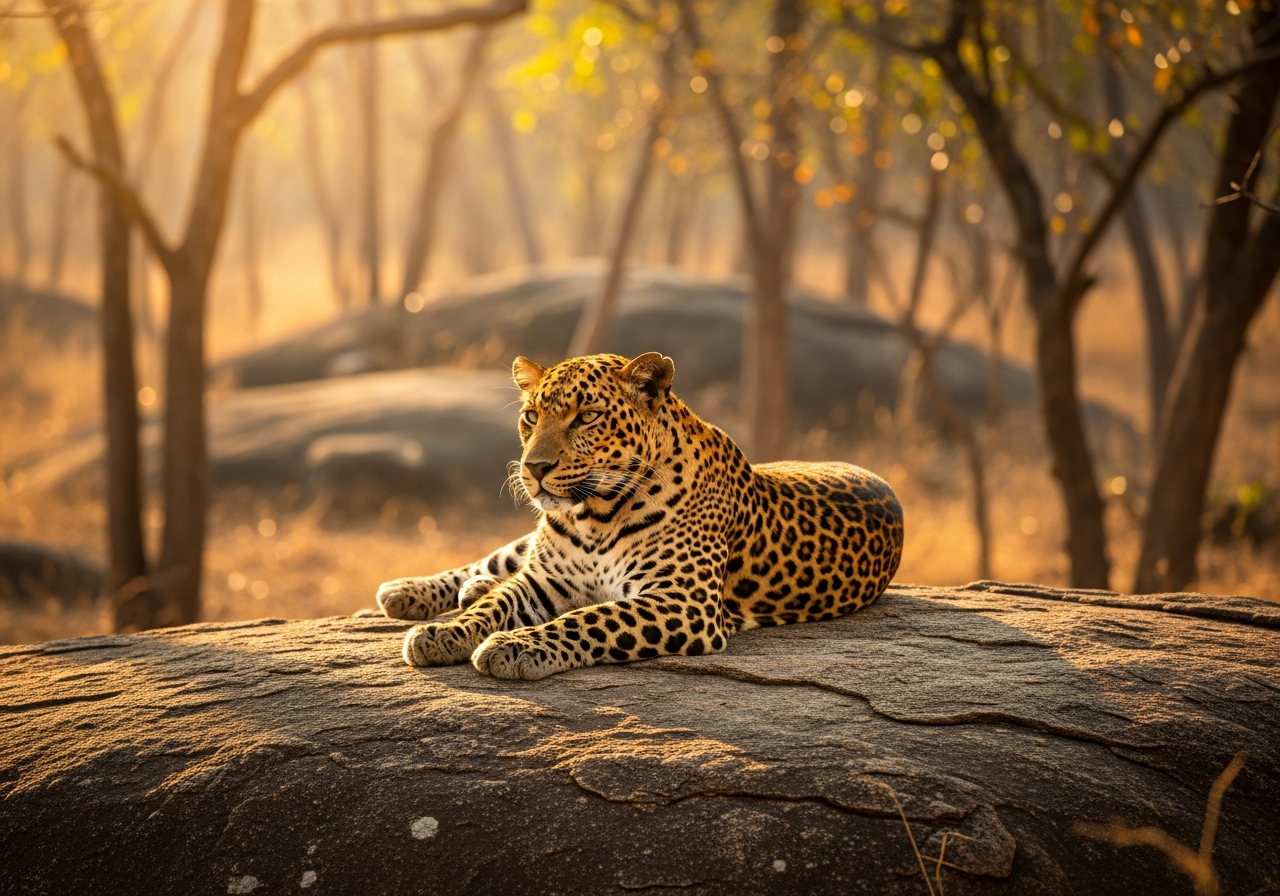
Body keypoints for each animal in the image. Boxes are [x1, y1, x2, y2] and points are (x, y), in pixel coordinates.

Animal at [375, 351, 904, 680]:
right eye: (530, 416)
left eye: (586, 417)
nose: (535, 468)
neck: (595, 515)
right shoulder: (543, 580)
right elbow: (496, 605)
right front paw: (445, 633)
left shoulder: (683, 603)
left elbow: (590, 618)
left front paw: (516, 646)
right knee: (493, 563)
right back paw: (411, 591)